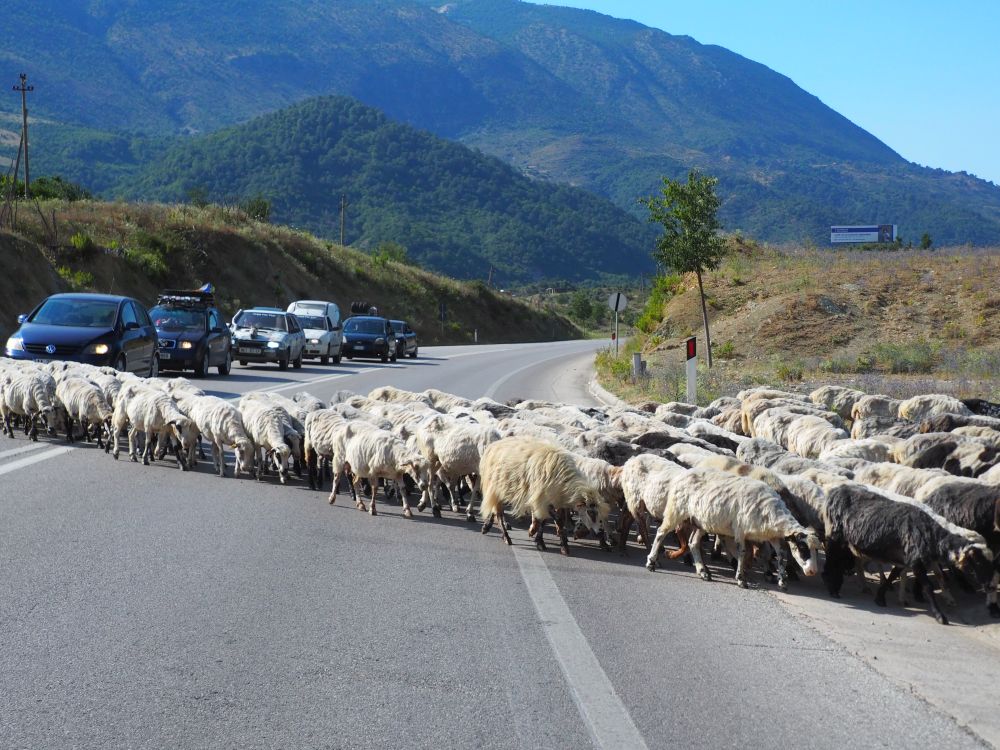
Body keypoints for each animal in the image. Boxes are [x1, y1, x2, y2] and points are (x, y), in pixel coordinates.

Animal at [478, 438, 608, 556]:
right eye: (591, 512)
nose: (601, 532)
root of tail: (493, 445)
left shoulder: (549, 501)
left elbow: (544, 521)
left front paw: (537, 537)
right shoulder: (542, 500)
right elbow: (557, 520)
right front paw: (561, 546)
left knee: (495, 510)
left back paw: (487, 527)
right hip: (496, 489)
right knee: (498, 513)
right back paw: (506, 537)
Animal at [648, 470, 820, 588]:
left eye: (816, 550)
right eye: (802, 548)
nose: (813, 571)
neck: (773, 512)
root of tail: (683, 474)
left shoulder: (771, 537)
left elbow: (781, 554)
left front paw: (782, 580)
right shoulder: (741, 531)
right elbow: (742, 553)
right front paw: (741, 579)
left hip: (701, 521)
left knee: (693, 543)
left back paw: (703, 571)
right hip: (676, 510)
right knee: (661, 533)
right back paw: (651, 562)